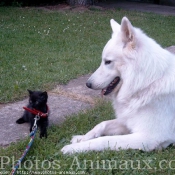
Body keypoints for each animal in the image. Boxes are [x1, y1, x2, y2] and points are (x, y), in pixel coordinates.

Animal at [61, 15, 175, 154]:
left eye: (108, 61)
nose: (88, 84)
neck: (147, 82)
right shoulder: (127, 121)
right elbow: (102, 124)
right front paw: (82, 138)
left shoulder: (148, 137)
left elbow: (104, 140)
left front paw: (74, 148)